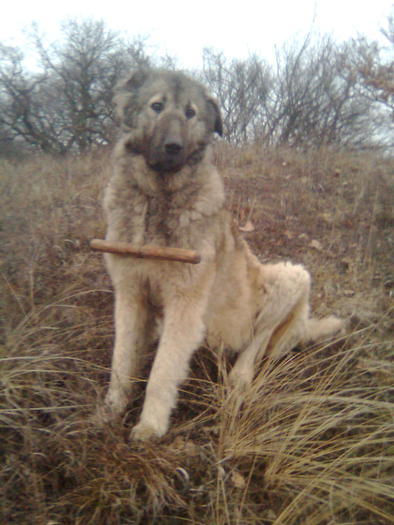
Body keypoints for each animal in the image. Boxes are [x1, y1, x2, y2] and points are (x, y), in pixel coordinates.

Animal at [101, 68, 344, 438]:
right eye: (156, 106)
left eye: (191, 113)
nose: (173, 147)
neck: (158, 198)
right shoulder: (129, 294)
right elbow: (121, 358)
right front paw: (110, 410)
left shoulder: (185, 303)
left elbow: (163, 371)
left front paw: (150, 425)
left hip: (290, 277)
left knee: (258, 340)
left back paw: (240, 378)